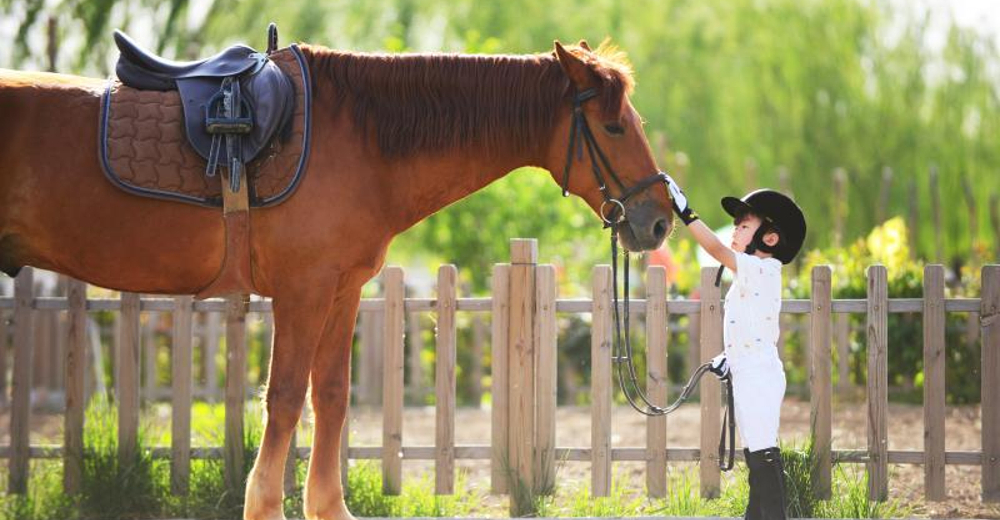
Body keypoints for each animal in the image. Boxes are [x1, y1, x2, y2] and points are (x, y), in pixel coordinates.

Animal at [0, 39, 673, 520]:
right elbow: (285, 398)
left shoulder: (342, 291)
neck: (360, 138)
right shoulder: (302, 292)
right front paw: (265, 505)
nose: (662, 219)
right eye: (614, 127)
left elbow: (330, 396)